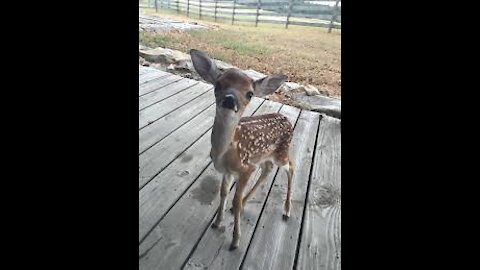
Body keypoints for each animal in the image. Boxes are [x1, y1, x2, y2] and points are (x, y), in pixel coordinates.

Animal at [189, 49, 294, 250]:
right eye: (218, 84)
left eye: (250, 94)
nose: (230, 100)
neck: (225, 152)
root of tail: (287, 120)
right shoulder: (227, 171)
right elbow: (223, 193)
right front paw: (217, 222)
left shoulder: (246, 168)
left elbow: (235, 200)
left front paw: (236, 240)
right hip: (265, 156)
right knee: (268, 169)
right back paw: (248, 201)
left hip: (281, 152)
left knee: (291, 167)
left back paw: (286, 210)